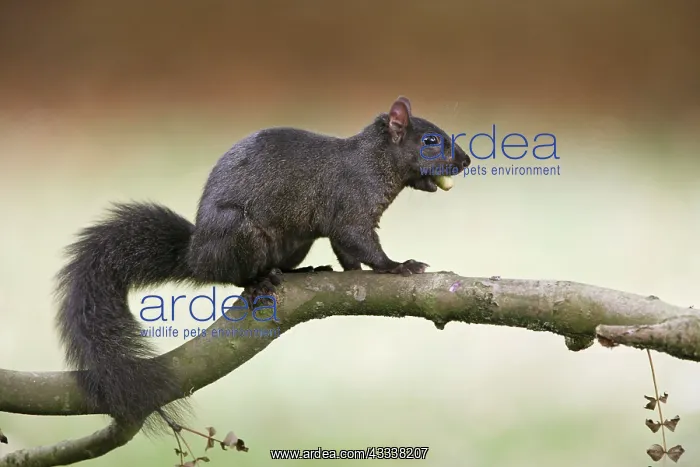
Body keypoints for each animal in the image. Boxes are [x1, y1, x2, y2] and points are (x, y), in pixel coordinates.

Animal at [54, 96, 471, 433]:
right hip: (239, 235)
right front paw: (398, 265)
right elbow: (360, 243)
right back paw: (258, 283)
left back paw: (299, 272)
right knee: (234, 277)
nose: (466, 160)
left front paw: (362, 270)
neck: (373, 162)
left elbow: (348, 254)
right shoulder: (351, 207)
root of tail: (196, 256)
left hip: (296, 243)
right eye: (430, 141)